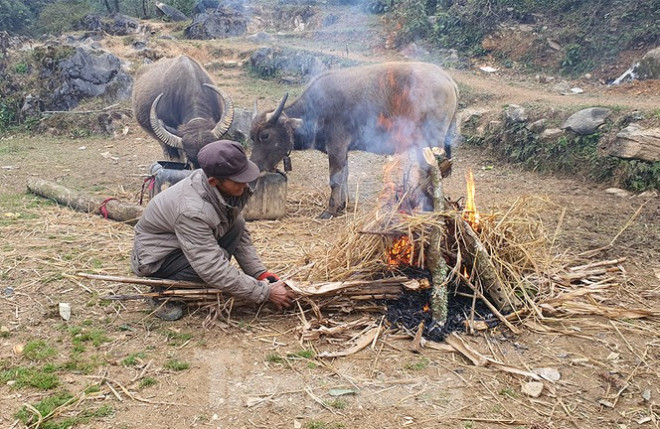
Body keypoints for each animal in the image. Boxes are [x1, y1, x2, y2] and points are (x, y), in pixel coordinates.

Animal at [248, 60, 458, 217]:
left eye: (265, 135)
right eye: (251, 137)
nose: (255, 166)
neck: (317, 110)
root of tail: (447, 80)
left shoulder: (337, 147)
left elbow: (335, 179)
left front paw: (331, 209)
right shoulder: (343, 151)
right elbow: (345, 175)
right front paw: (343, 204)